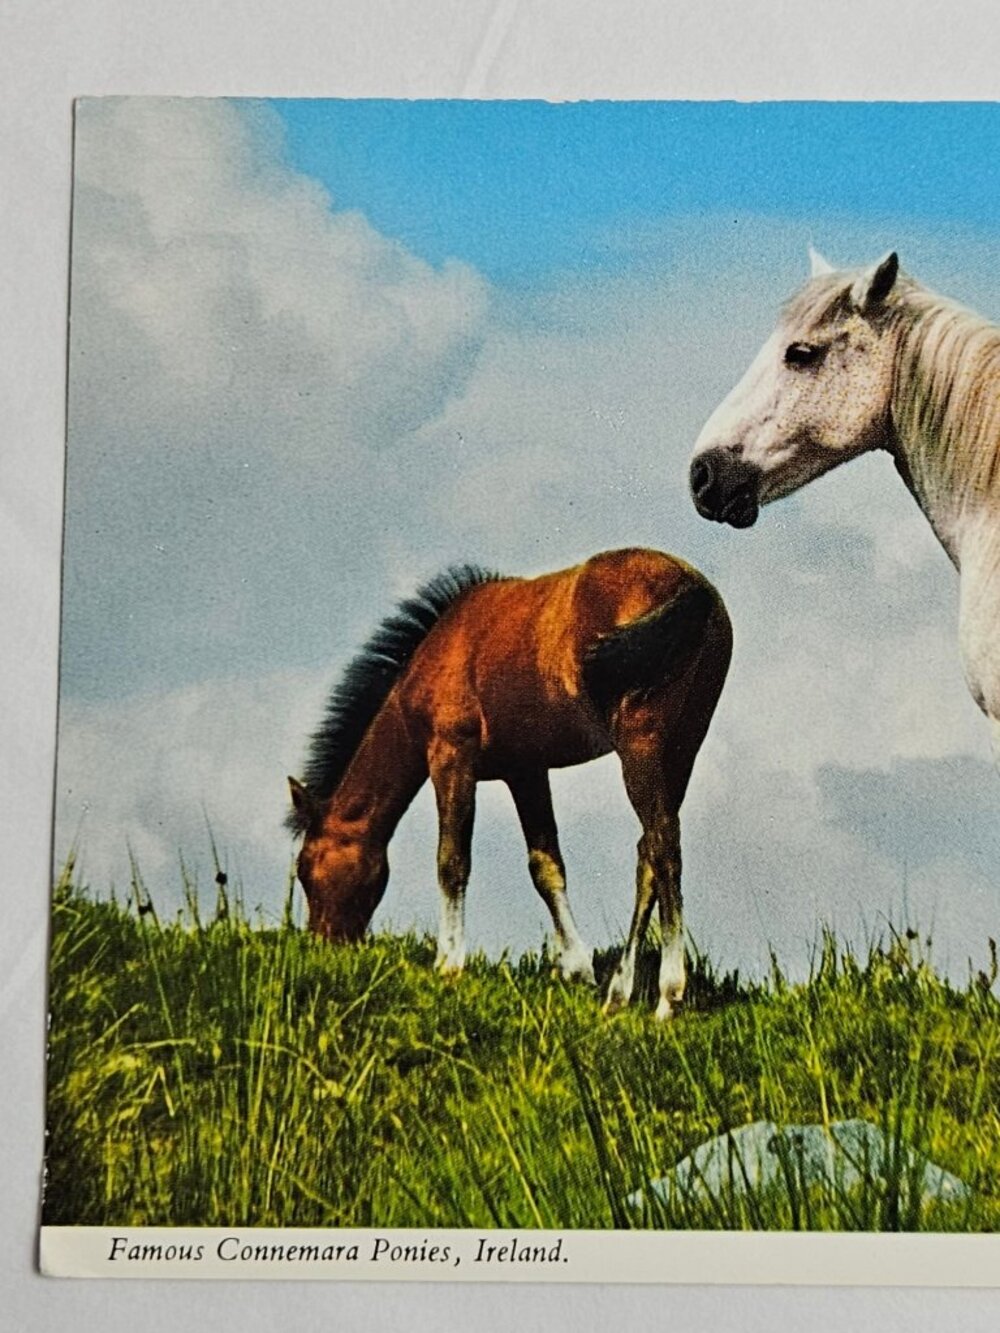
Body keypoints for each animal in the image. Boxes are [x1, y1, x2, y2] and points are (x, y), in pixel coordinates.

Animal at [287, 548, 732, 1020]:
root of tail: (691, 586)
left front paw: (449, 962)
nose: (325, 945)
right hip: (680, 751)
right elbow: (546, 867)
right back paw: (618, 992)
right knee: (648, 854)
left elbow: (452, 860)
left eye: (308, 868)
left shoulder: (451, 757)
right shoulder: (526, 771)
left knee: (664, 848)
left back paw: (668, 997)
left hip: (642, 746)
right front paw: (577, 968)